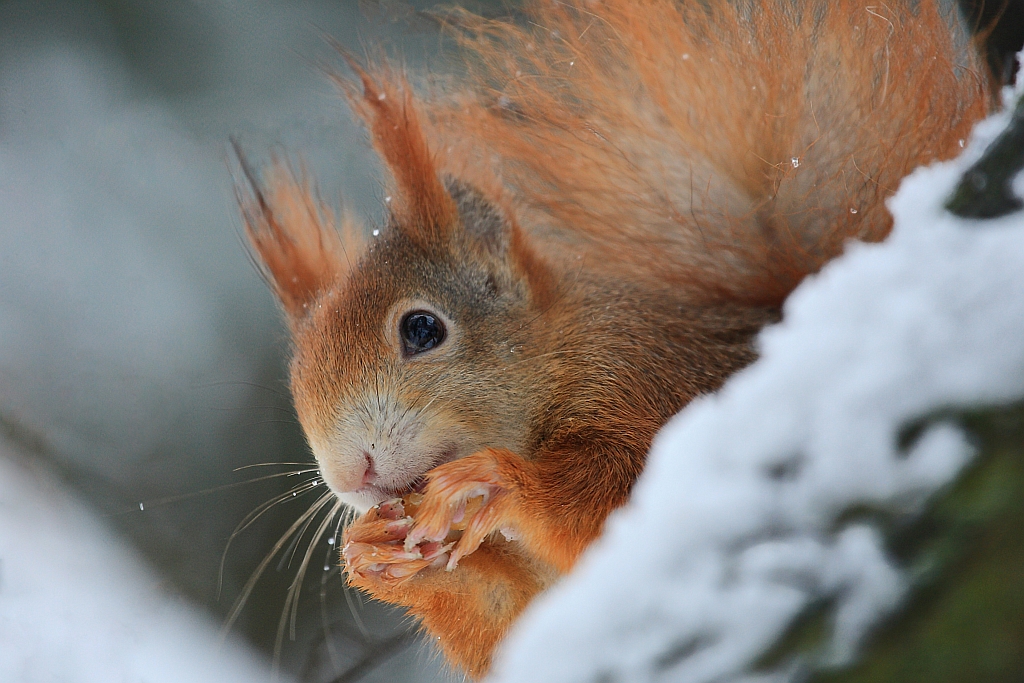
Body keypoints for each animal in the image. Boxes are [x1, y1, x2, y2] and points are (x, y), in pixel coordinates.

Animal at [235, 0, 987, 671]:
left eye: (422, 328)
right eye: (297, 372)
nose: (349, 476)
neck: (556, 362)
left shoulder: (643, 380)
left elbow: (627, 502)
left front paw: (502, 484)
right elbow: (520, 632)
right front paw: (374, 555)